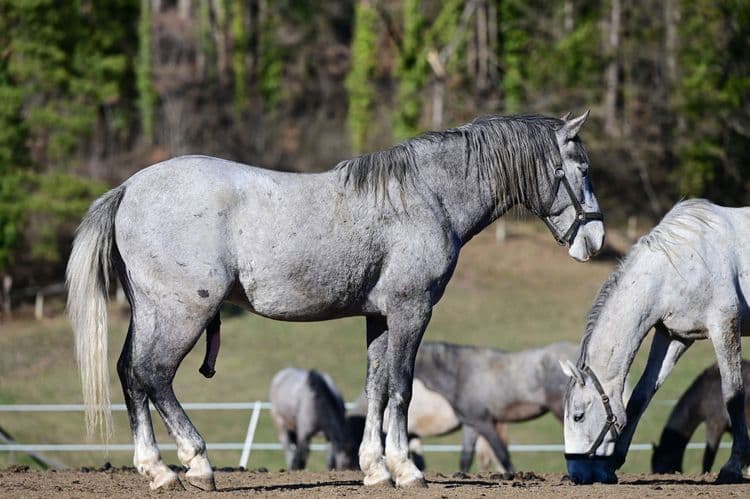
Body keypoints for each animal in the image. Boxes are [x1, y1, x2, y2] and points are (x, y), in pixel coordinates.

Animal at [65, 112, 603, 491]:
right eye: (581, 168)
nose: (595, 240)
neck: (427, 196)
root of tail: (129, 187)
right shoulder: (411, 311)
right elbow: (401, 389)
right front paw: (406, 470)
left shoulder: (380, 317)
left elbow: (375, 389)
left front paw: (376, 469)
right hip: (183, 314)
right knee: (153, 375)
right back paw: (195, 463)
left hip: (151, 312)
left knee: (131, 375)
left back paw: (155, 469)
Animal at [561, 199, 750, 484]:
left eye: (578, 416)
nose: (576, 475)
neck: (678, 265)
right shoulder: (673, 336)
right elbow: (640, 396)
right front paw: (613, 463)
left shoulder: (724, 325)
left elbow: (733, 395)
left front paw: (732, 467)